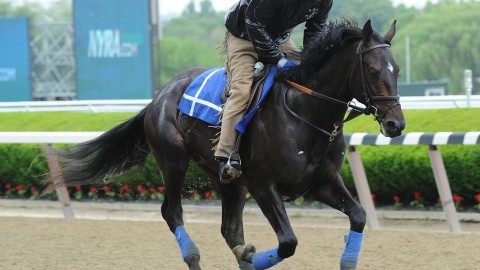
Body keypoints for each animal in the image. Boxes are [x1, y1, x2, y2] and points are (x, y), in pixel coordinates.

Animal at [50, 20, 404, 268]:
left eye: (397, 70)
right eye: (373, 70)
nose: (396, 124)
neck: (304, 111)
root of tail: (158, 96)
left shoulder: (322, 183)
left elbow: (358, 215)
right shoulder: (264, 185)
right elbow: (288, 242)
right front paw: (249, 256)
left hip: (228, 179)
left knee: (229, 228)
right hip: (173, 160)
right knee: (172, 212)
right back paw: (194, 256)